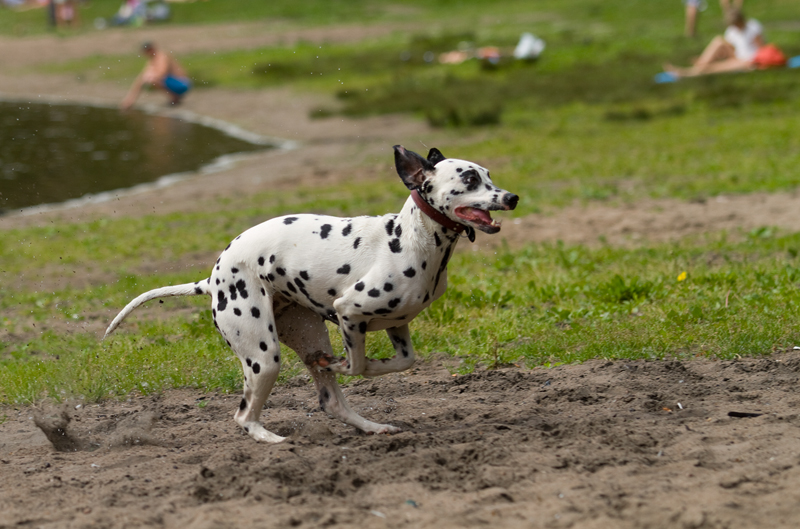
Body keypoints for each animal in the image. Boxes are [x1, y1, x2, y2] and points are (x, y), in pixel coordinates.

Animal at [104, 144, 520, 442]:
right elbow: (357, 365)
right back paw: (273, 439)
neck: (411, 241)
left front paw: (354, 368)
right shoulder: (348, 311)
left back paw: (370, 427)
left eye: (488, 176)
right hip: (263, 356)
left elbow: (400, 362)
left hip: (306, 333)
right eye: (470, 179)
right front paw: (342, 364)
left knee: (331, 403)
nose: (512, 197)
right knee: (244, 415)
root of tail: (212, 278)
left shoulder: (397, 326)